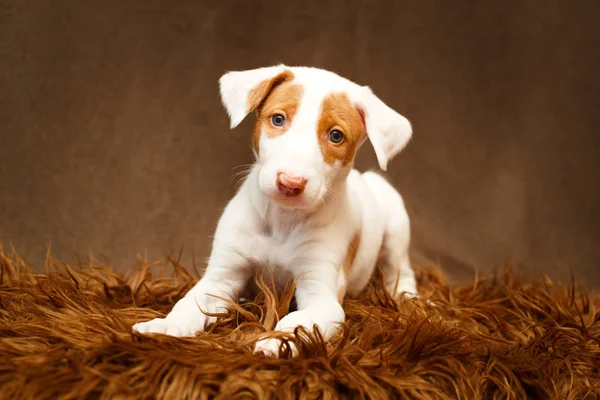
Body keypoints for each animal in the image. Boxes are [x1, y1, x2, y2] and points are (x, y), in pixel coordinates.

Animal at [132, 65, 418, 356]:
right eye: (278, 119)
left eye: (336, 135)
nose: (291, 182)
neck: (282, 220)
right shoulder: (221, 277)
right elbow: (190, 302)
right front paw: (165, 326)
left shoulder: (320, 293)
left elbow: (299, 321)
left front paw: (277, 340)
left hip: (395, 224)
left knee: (399, 269)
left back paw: (408, 299)